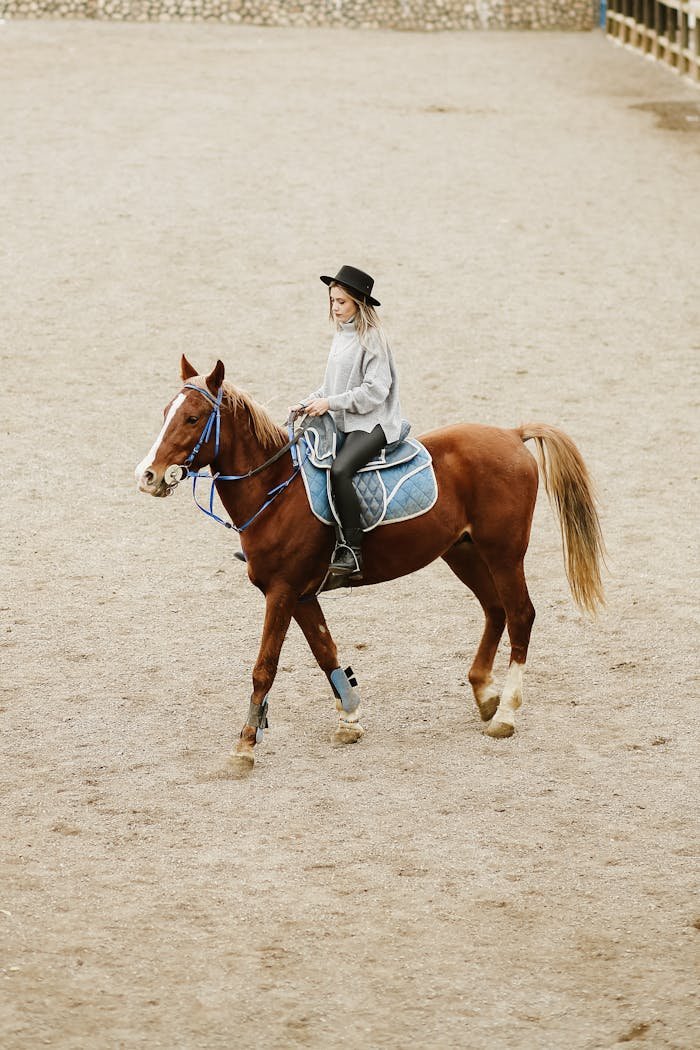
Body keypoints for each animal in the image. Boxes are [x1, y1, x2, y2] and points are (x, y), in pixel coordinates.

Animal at [135, 356, 605, 773]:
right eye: (165, 413)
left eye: (193, 418)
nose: (148, 475)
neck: (275, 491)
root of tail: (511, 434)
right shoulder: (301, 595)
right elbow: (326, 652)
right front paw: (349, 719)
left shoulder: (282, 591)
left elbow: (263, 669)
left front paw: (245, 746)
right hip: (463, 552)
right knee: (496, 610)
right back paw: (485, 694)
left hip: (504, 553)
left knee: (521, 614)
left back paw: (505, 713)